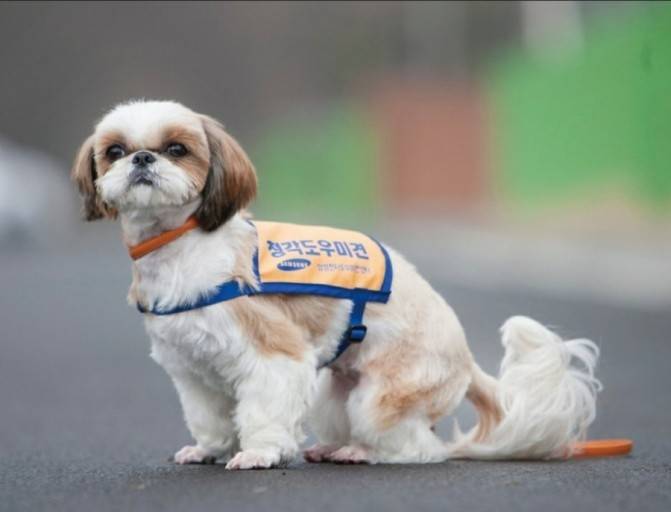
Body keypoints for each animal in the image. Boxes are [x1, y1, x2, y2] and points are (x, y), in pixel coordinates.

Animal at [71, 99, 600, 468]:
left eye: (176, 149)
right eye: (114, 152)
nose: (142, 158)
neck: (183, 246)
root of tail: (467, 362)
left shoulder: (272, 355)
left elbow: (263, 412)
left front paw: (259, 453)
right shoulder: (192, 370)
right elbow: (210, 417)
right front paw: (210, 449)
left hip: (381, 398)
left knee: (418, 446)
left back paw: (362, 452)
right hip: (334, 394)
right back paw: (334, 446)